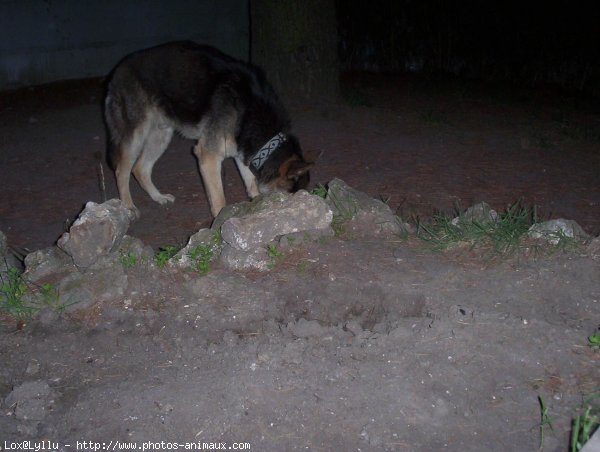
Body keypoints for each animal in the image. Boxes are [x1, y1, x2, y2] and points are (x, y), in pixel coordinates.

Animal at [103, 41, 312, 218]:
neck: (250, 110)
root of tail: (118, 70)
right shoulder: (208, 157)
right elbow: (219, 200)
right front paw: (219, 224)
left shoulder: (244, 154)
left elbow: (251, 184)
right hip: (135, 138)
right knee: (121, 171)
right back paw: (128, 207)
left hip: (161, 136)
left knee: (140, 169)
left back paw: (159, 197)